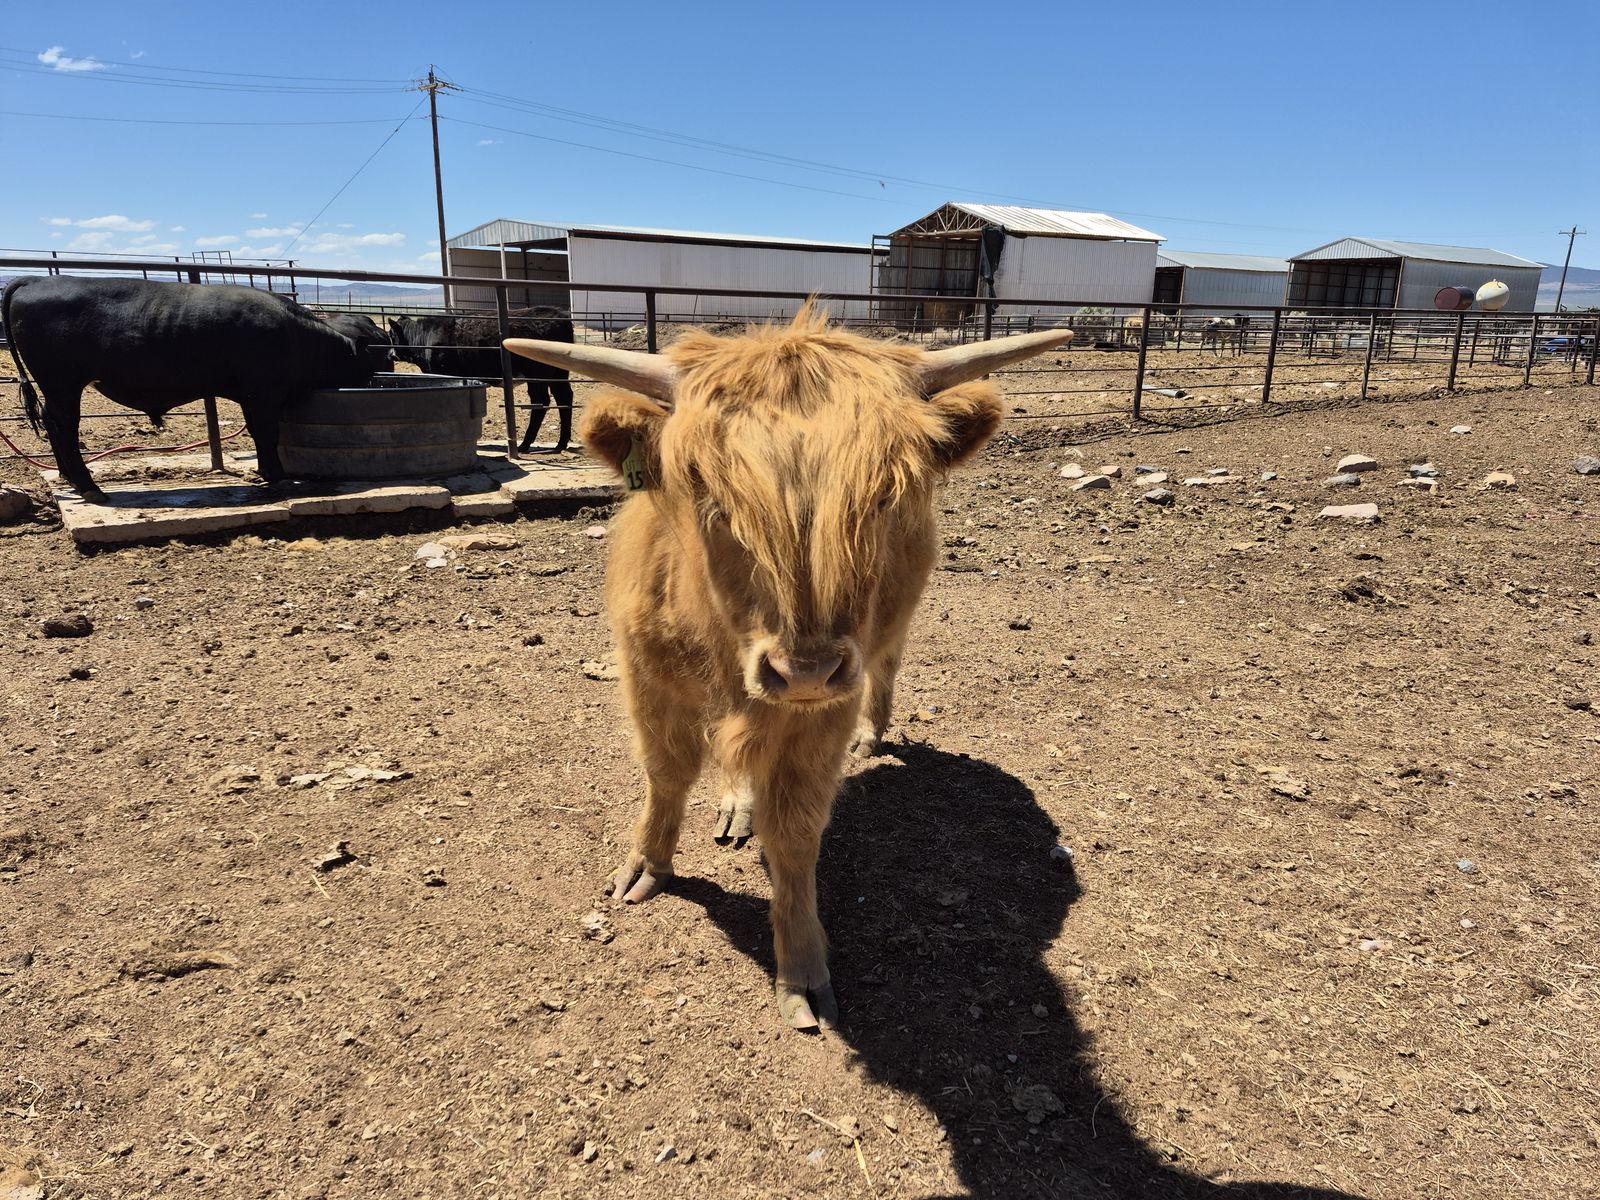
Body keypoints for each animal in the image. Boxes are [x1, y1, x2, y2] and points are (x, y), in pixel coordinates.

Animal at [3, 277, 374, 502]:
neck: (298, 335)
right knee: (63, 426)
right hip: (63, 384)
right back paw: (90, 488)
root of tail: (37, 279)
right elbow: (264, 432)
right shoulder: (262, 394)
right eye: (371, 360)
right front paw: (276, 475)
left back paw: (69, 478)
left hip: (57, 387)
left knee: (53, 425)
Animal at [389, 308, 575, 453]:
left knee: (541, 401)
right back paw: (560, 443)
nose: (390, 354)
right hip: (557, 374)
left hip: (537, 376)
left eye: (392, 335)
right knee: (564, 397)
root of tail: (559, 315)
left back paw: (525, 444)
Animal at [505, 309, 1072, 1031]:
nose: (803, 672)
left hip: (890, 626)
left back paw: (871, 736)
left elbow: (795, 828)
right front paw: (646, 865)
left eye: (882, 497)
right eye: (711, 496)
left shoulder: (823, 711)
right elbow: (666, 775)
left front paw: (801, 967)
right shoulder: (647, 678)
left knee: (885, 666)